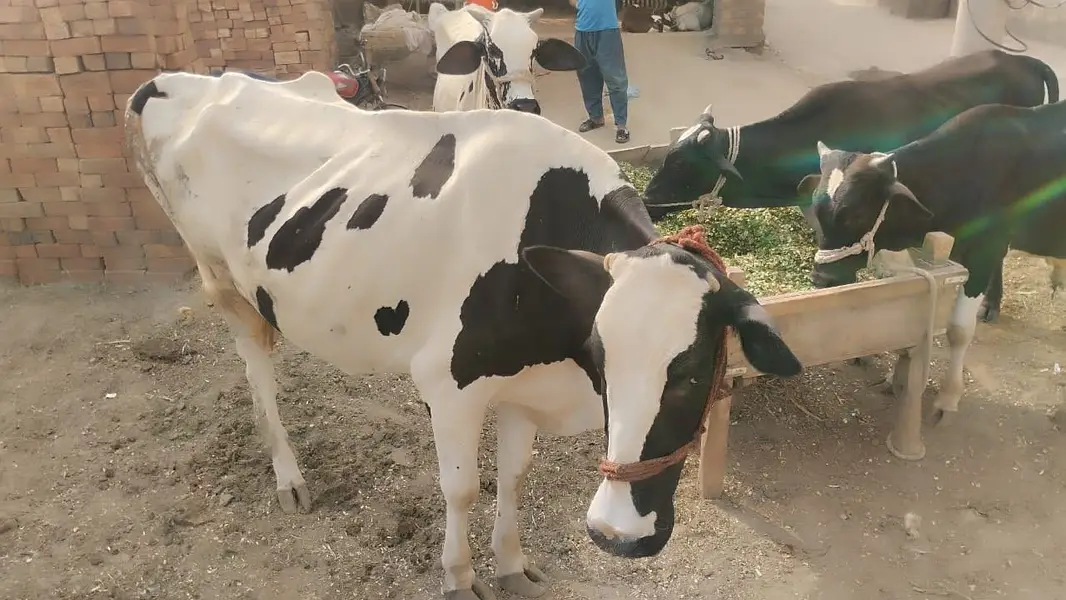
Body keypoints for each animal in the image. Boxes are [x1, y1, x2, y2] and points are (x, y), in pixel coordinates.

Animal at [125, 70, 801, 600]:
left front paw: (512, 566)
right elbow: (464, 488)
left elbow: (515, 477)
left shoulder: (525, 386)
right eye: (603, 356)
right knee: (256, 368)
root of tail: (181, 80)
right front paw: (458, 576)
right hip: (221, 278)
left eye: (693, 371)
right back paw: (289, 477)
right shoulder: (449, 384)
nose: (616, 536)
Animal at [796, 100, 1066, 428]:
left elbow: (959, 331)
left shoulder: (985, 250)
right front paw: (896, 379)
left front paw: (947, 399)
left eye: (856, 214)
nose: (821, 278)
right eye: (817, 210)